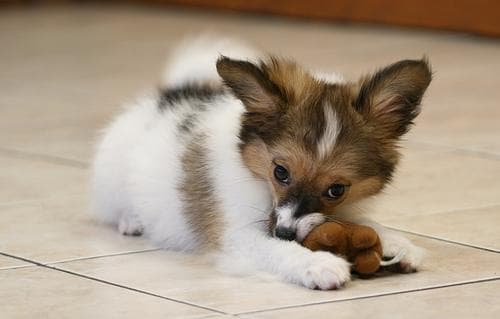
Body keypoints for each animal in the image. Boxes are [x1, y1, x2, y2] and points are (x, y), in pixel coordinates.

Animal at [93, 37, 430, 290]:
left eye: (336, 190)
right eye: (280, 172)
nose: (285, 232)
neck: (259, 180)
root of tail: (172, 95)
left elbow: (365, 222)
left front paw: (398, 243)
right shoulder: (239, 235)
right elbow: (274, 250)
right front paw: (318, 263)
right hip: (112, 178)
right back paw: (132, 220)